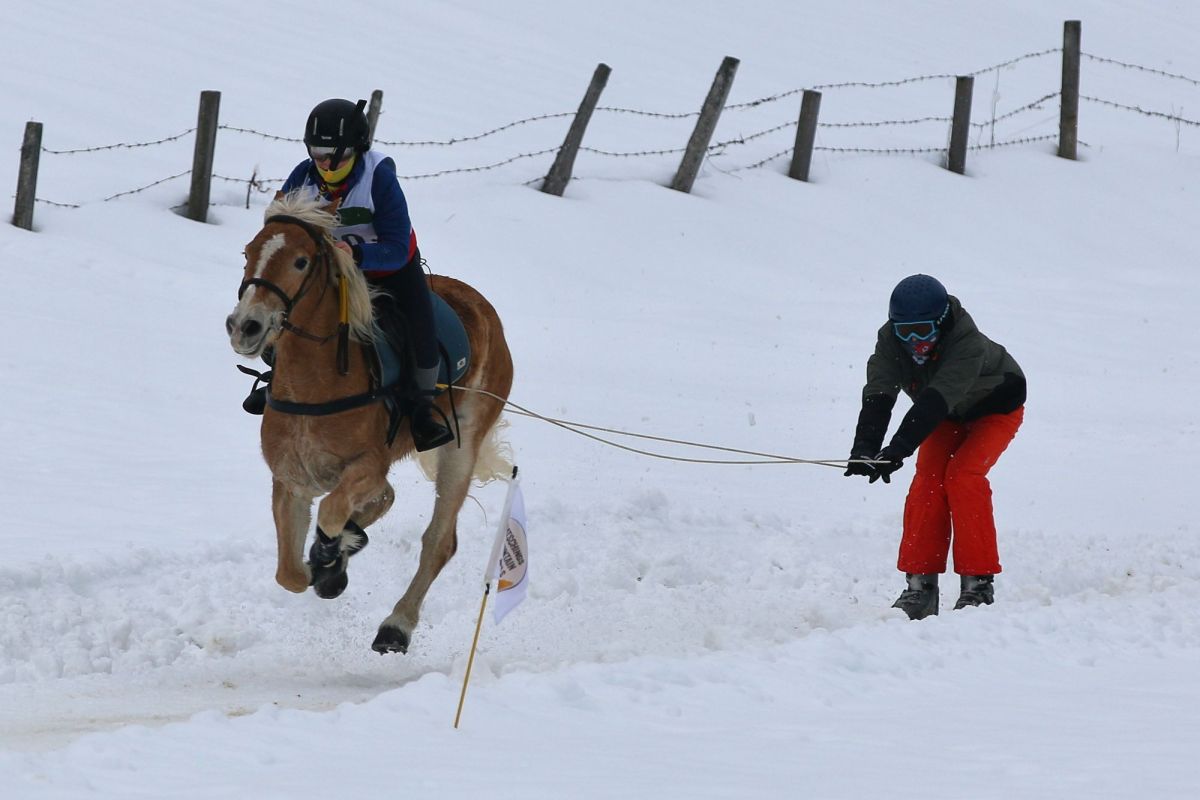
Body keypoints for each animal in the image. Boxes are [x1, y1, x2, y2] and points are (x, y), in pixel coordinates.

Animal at [225, 192, 514, 654]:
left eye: (301, 261)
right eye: (248, 253)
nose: (244, 327)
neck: (315, 384)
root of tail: (483, 307)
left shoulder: (366, 467)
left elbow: (331, 514)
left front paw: (330, 560)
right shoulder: (291, 480)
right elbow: (290, 575)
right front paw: (329, 564)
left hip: (462, 443)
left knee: (439, 541)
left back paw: (395, 626)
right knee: (387, 501)